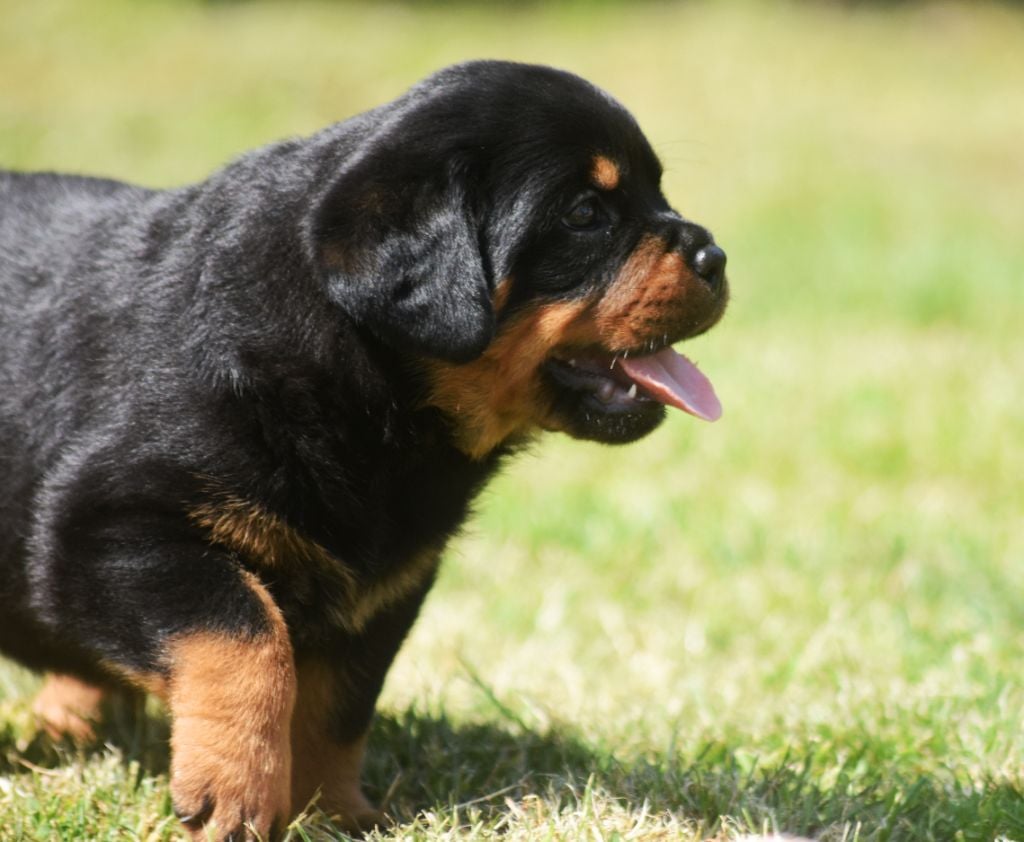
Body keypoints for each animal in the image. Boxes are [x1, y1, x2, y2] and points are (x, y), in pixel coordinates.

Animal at [0, 60, 727, 840]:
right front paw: (236, 793)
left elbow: (338, 705)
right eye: (586, 214)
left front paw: (335, 813)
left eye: (658, 192)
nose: (717, 256)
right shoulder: (105, 530)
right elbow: (248, 638)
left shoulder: (384, 589)